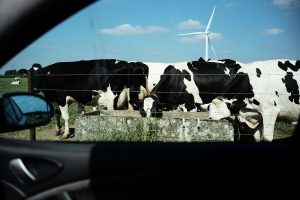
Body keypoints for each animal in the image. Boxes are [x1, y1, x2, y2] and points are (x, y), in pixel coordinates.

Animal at [19, 58, 149, 138]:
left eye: (41, 75)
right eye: (31, 76)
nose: (35, 89)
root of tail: (128, 63)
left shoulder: (61, 98)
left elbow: (65, 117)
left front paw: (66, 134)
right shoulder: (53, 99)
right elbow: (56, 114)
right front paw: (58, 130)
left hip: (112, 100)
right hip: (130, 99)